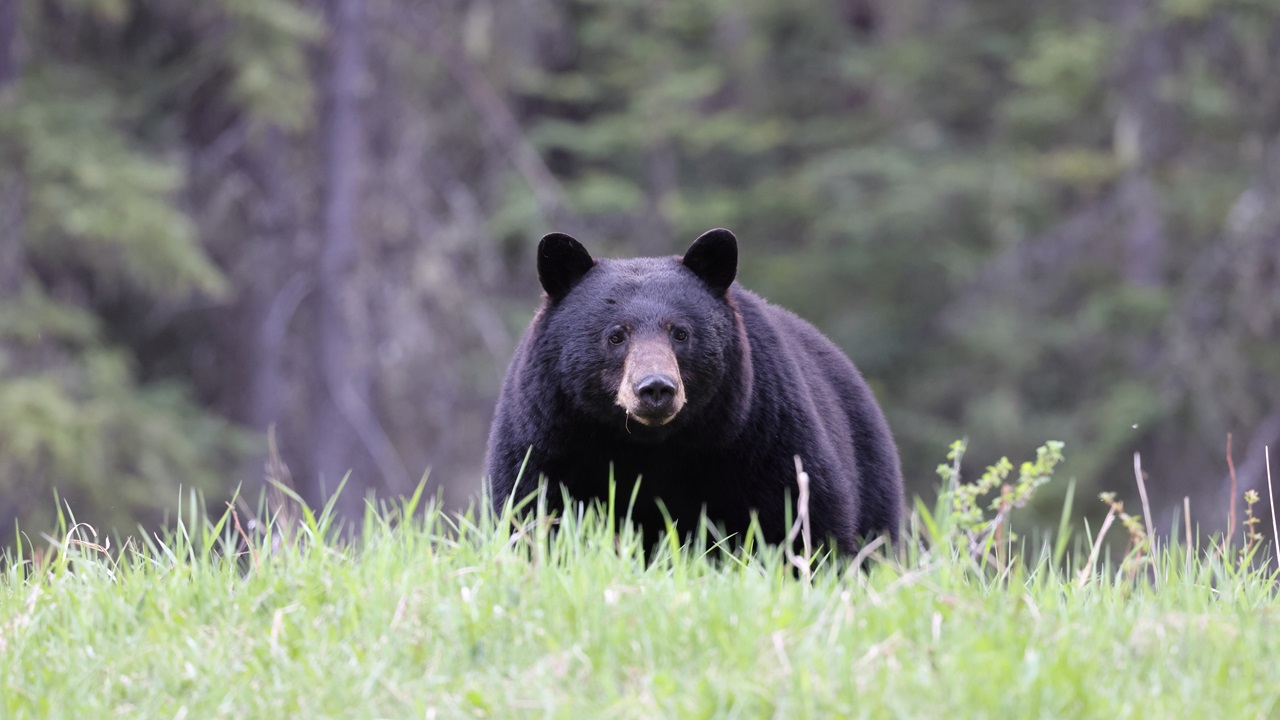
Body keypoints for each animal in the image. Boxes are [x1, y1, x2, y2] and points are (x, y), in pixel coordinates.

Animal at [485, 228, 904, 554]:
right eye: (616, 335)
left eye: (681, 332)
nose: (655, 388)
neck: (650, 445)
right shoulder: (549, 440)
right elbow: (532, 513)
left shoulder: (763, 434)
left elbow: (801, 519)